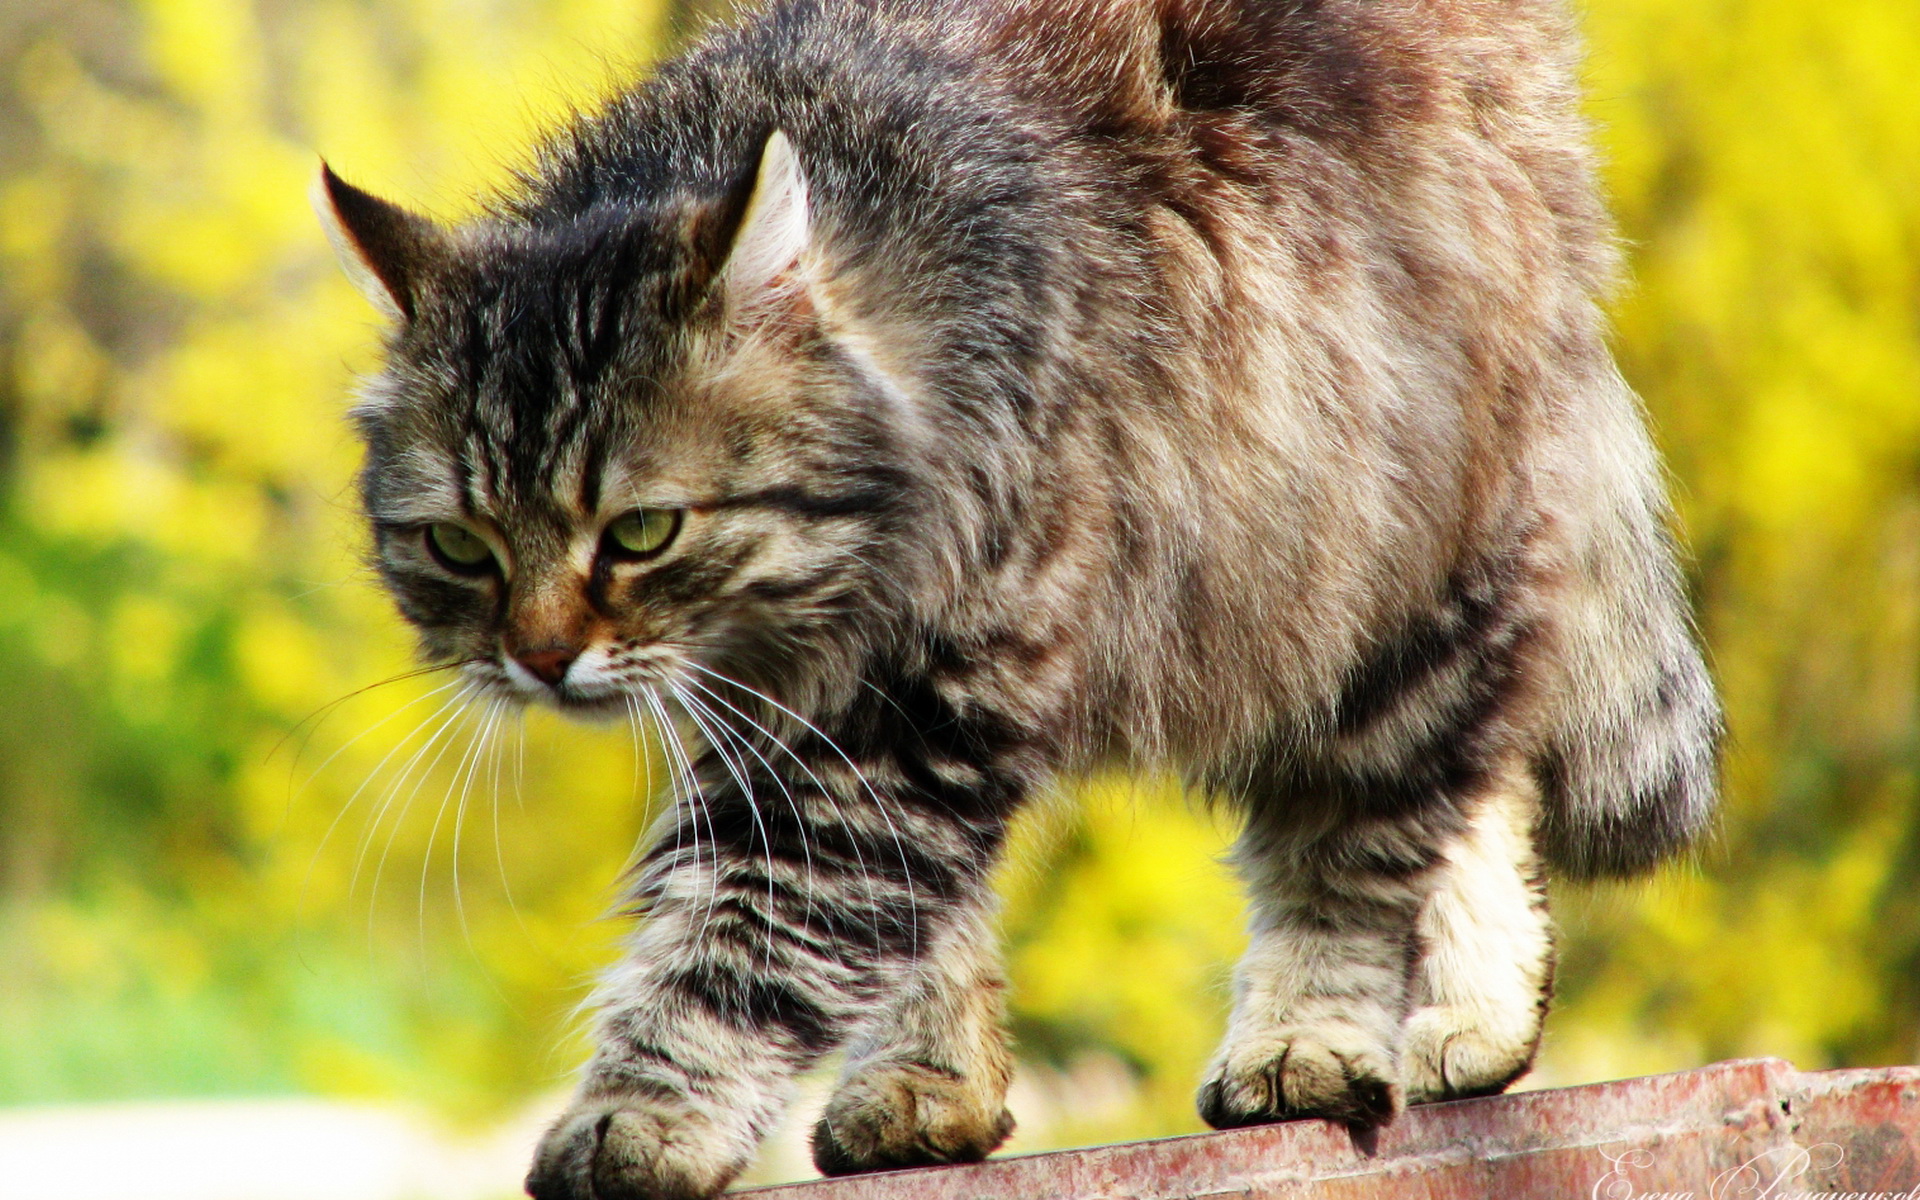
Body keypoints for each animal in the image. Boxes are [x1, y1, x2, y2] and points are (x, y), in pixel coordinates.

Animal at [314, 0, 1728, 1190]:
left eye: (641, 533)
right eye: (464, 549)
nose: (540, 658)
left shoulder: (906, 713)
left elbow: (744, 945)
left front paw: (640, 1116)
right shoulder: (788, 711)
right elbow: (908, 938)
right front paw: (927, 1088)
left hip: (1364, 564)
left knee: (1365, 833)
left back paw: (1311, 1043)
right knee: (1465, 786)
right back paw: (1475, 1014)